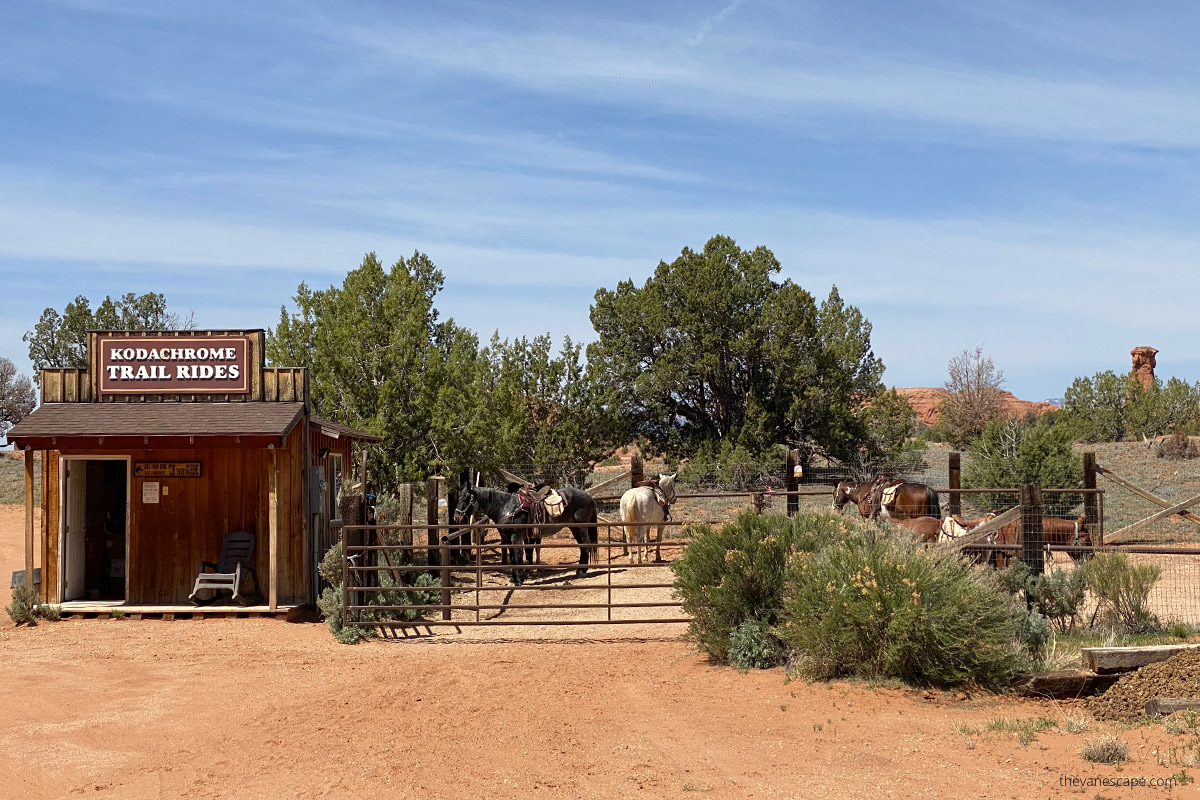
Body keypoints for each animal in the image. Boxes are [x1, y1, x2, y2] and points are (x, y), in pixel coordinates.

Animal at [451, 482, 597, 587]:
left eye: (465, 499)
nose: (456, 518)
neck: (506, 507)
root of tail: (589, 497)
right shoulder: (507, 537)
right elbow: (513, 558)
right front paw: (514, 579)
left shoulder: (516, 536)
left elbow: (518, 555)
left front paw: (520, 579)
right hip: (574, 528)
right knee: (582, 546)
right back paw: (580, 570)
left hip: (582, 527)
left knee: (586, 545)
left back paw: (582, 571)